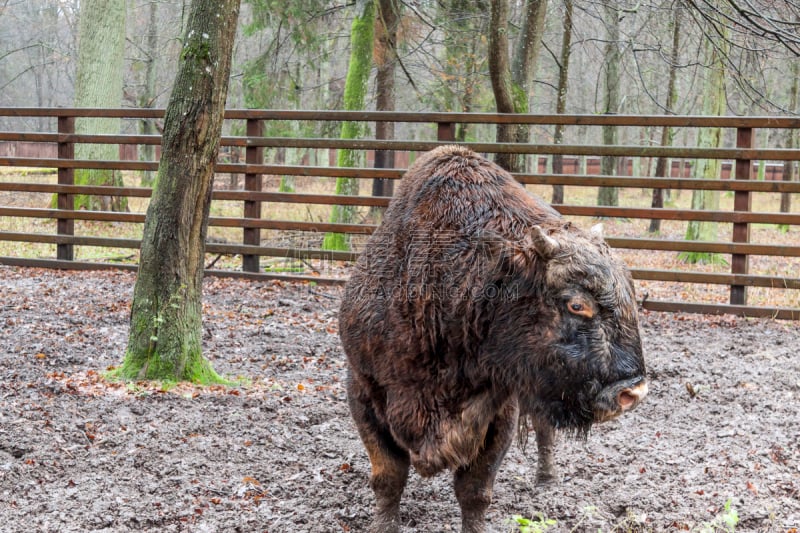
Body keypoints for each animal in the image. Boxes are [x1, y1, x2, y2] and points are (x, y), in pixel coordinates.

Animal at [340, 145, 648, 532]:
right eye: (577, 304)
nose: (632, 392)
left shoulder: (500, 407)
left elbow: (474, 490)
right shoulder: (363, 387)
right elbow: (388, 476)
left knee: (545, 430)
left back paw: (547, 479)